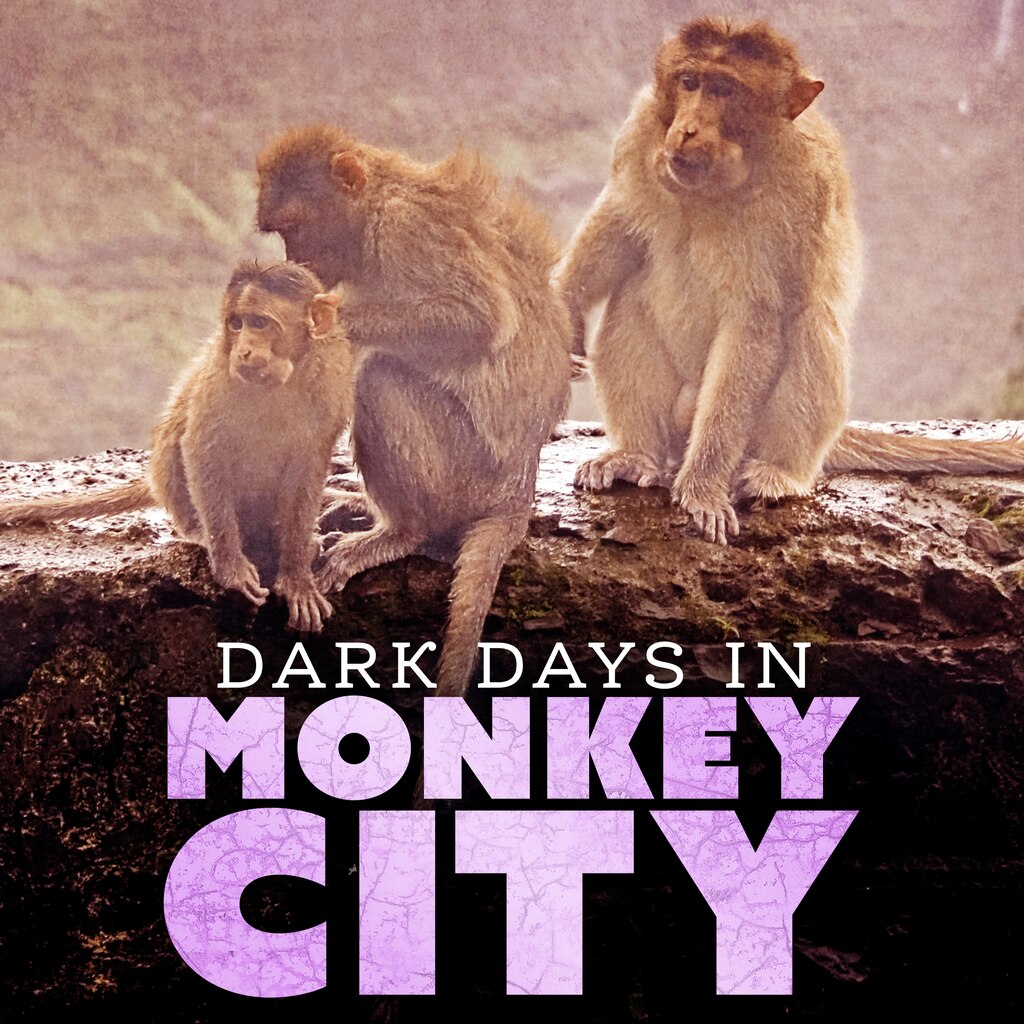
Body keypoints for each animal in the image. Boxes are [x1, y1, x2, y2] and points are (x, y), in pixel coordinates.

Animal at [0, 261, 354, 632]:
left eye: (259, 323)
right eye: (236, 323)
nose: (243, 350)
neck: (287, 376)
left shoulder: (333, 378)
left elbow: (309, 464)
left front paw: (297, 576)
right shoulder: (221, 372)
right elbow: (201, 446)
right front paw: (230, 566)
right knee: (177, 437)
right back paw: (199, 532)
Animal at [256, 126, 572, 696]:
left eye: (295, 227)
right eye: (282, 232)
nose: (300, 262)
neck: (376, 201)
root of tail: (519, 489)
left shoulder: (405, 228)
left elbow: (480, 318)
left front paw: (326, 320)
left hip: (466, 475)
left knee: (380, 377)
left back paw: (402, 532)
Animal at [559, 17, 1024, 545]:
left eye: (724, 90)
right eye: (690, 82)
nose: (687, 128)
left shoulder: (802, 188)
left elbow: (757, 321)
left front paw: (702, 487)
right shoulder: (642, 134)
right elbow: (621, 222)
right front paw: (565, 313)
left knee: (809, 324)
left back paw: (777, 472)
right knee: (631, 297)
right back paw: (639, 455)